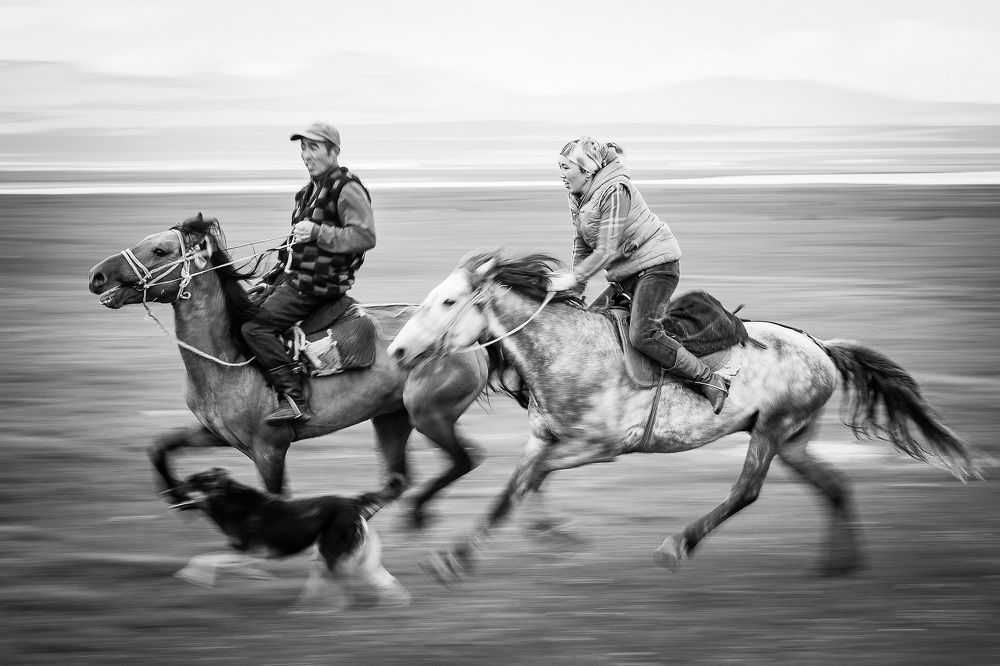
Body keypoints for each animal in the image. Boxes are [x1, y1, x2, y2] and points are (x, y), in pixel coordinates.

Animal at [86, 213, 503, 529]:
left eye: (160, 250)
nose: (96, 276)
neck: (230, 357)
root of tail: (473, 341)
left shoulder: (269, 449)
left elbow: (274, 500)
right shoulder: (217, 434)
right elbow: (160, 446)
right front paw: (180, 496)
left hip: (429, 414)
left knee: (463, 460)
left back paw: (414, 514)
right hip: (391, 417)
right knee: (397, 480)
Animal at [386, 250, 981, 582]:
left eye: (448, 302)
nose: (397, 351)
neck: (565, 350)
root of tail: (822, 348)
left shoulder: (595, 448)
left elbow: (522, 484)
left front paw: (466, 555)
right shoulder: (544, 439)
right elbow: (517, 486)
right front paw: (465, 554)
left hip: (771, 431)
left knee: (747, 491)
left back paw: (678, 545)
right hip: (793, 440)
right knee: (834, 486)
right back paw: (838, 566)